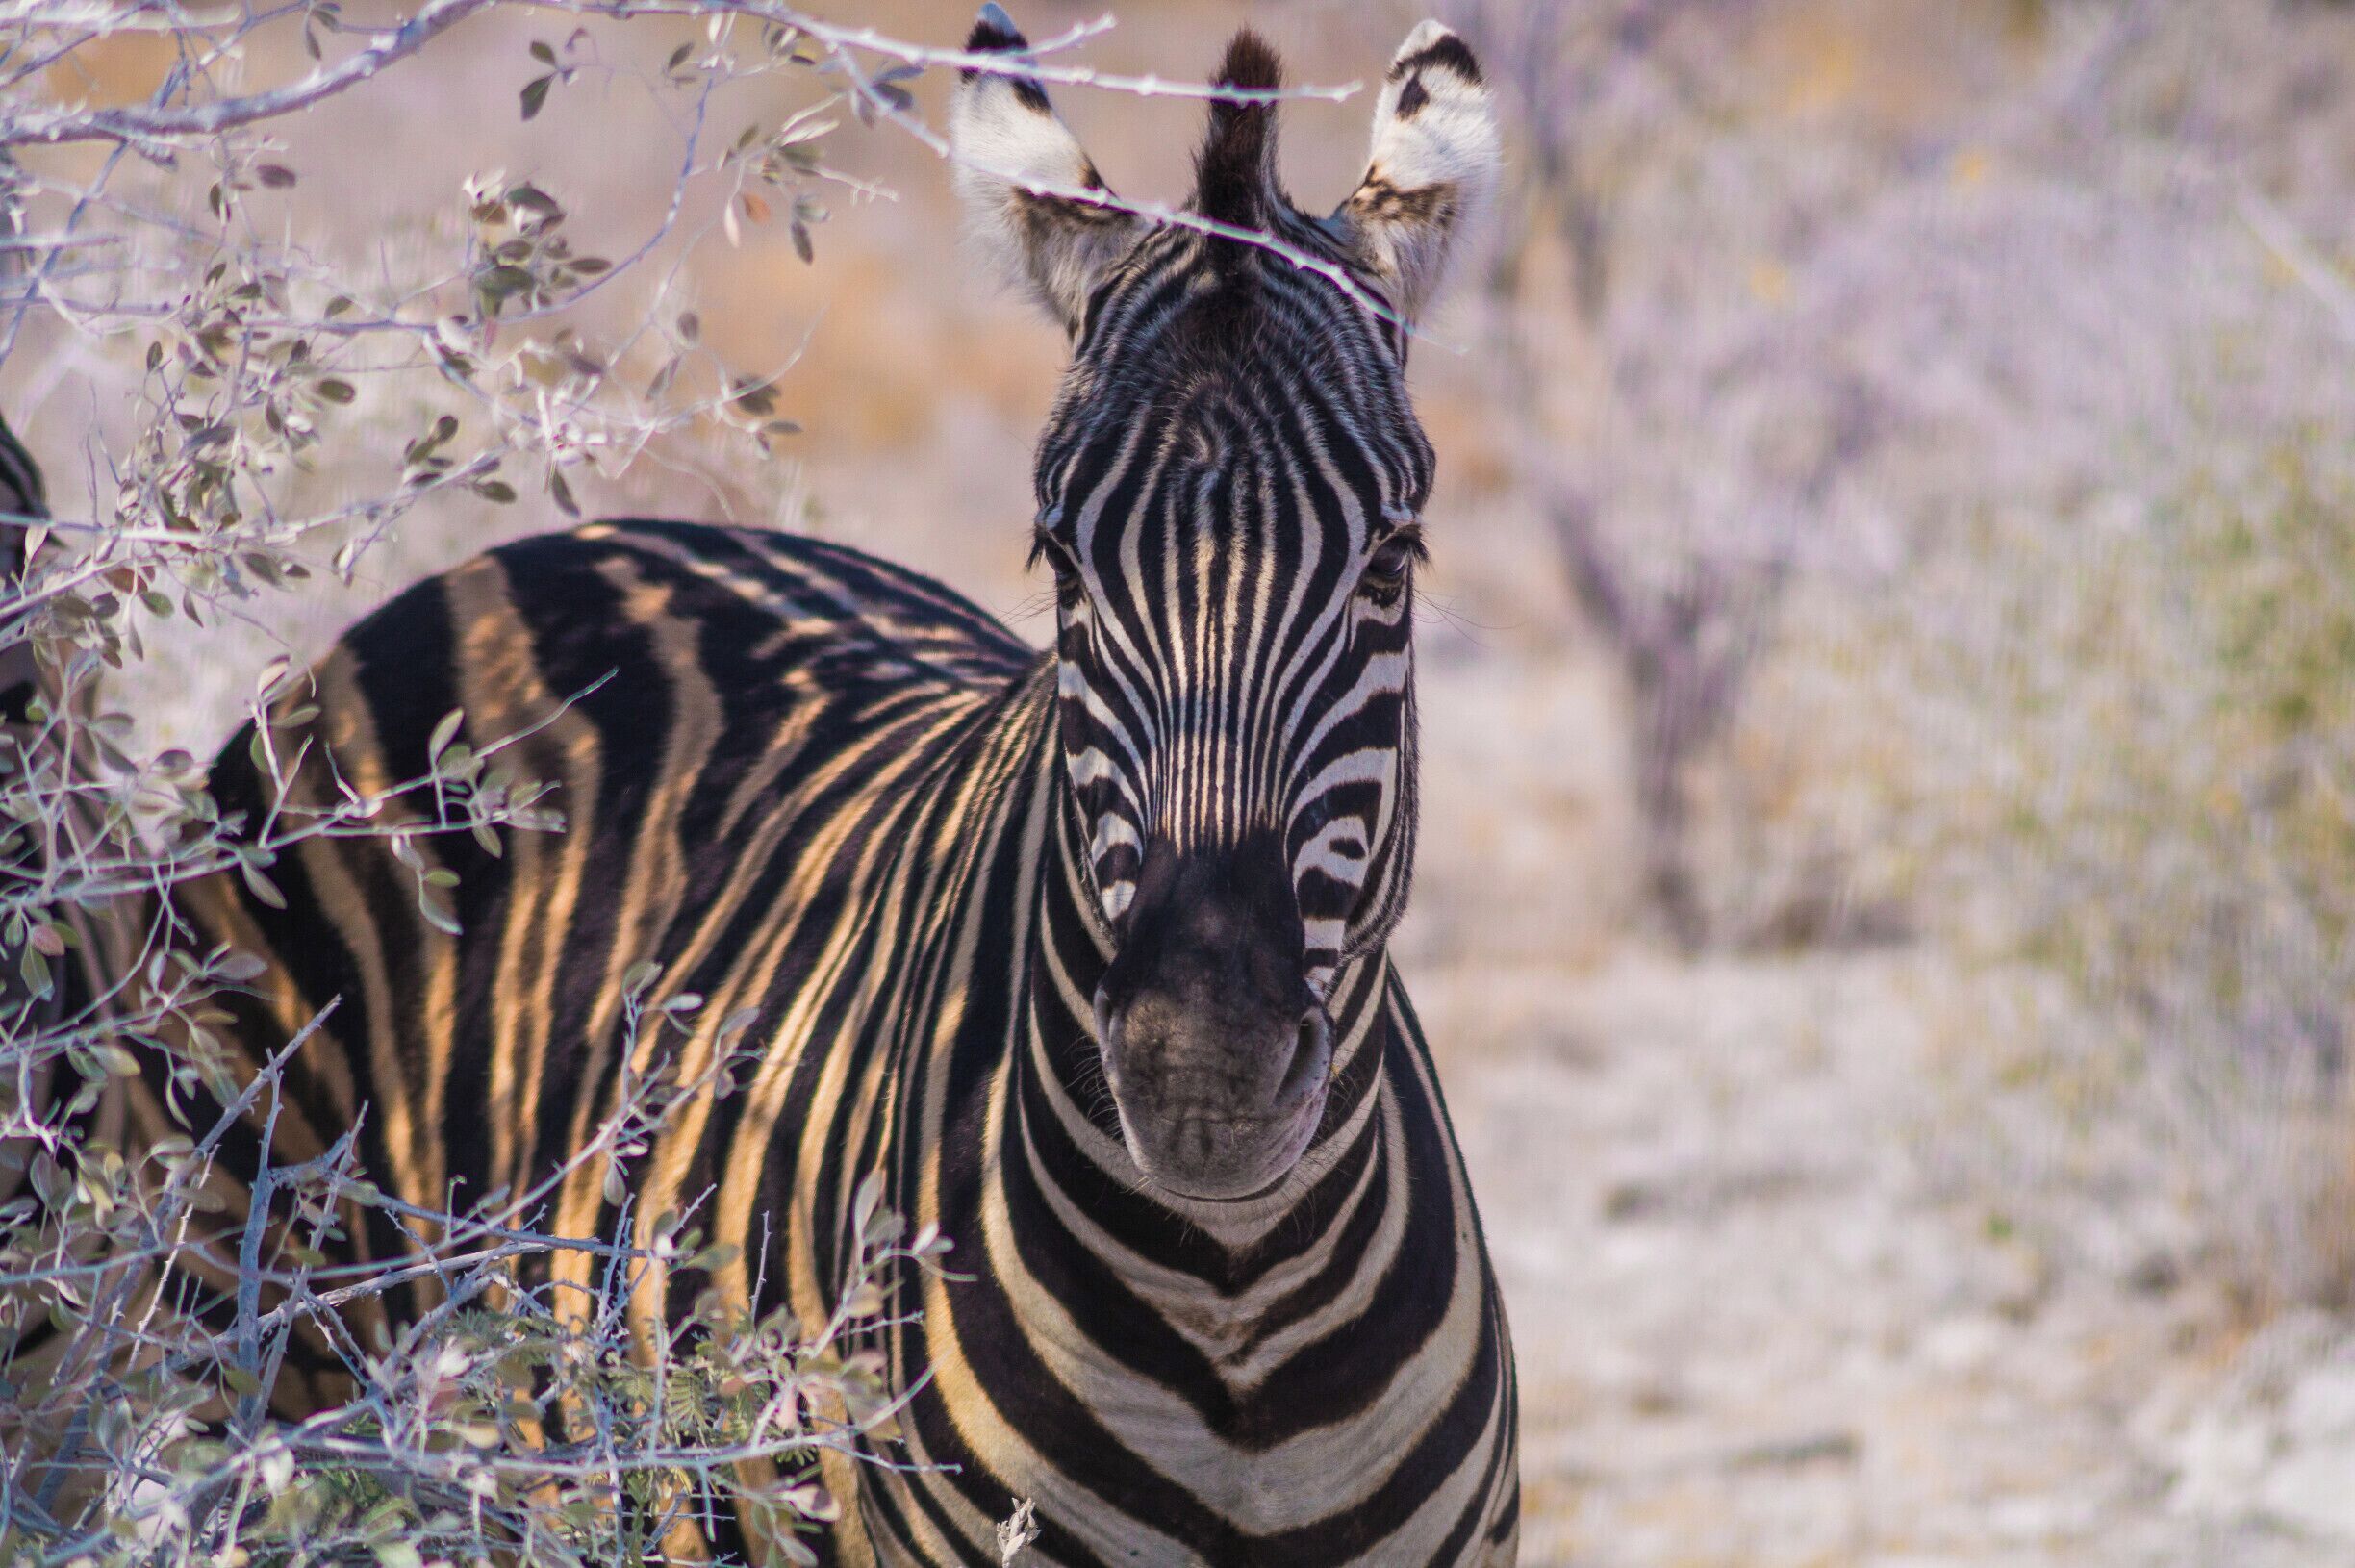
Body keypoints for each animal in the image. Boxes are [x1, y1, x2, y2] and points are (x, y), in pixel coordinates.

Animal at [75, 9, 1517, 1563]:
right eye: (1062, 564)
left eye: (1392, 560)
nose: (1203, 1074)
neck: (1236, 1314)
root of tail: (554, 554)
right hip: (259, 1375)